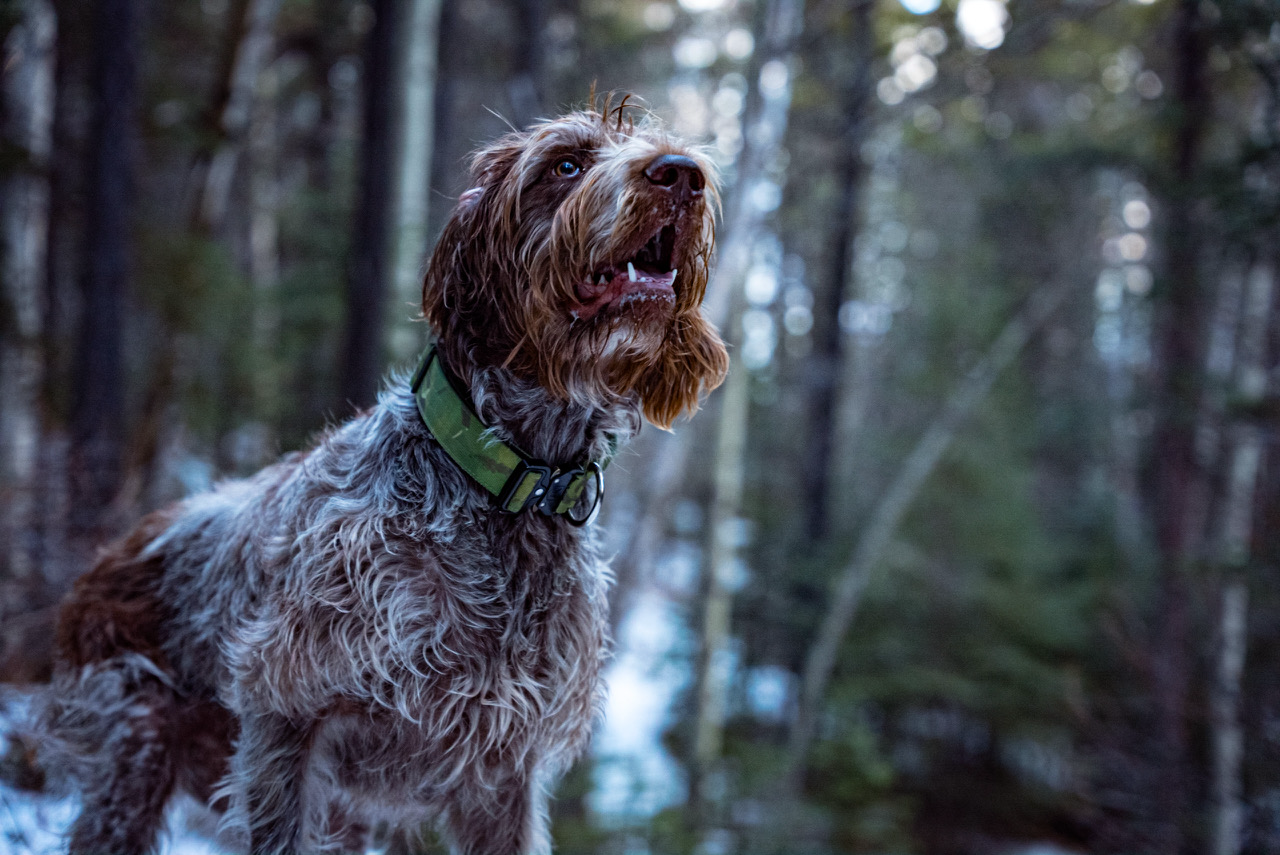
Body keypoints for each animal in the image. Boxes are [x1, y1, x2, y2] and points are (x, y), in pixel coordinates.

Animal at [35, 108, 727, 855]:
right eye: (565, 164)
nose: (681, 174)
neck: (506, 487)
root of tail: (109, 552)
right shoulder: (286, 714)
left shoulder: (504, 769)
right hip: (132, 750)